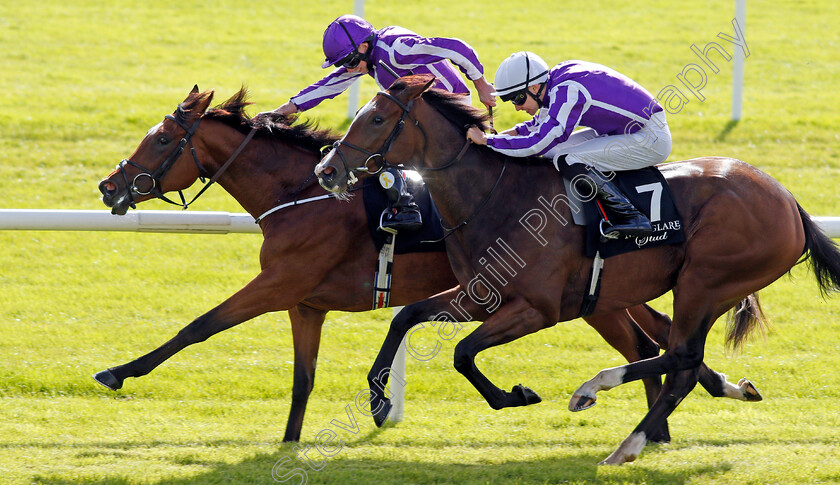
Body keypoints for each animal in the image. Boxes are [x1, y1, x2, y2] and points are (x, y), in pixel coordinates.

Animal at [314, 73, 840, 464]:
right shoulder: (482, 294)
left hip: (705, 282)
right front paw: (379, 402)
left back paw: (603, 403)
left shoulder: (537, 309)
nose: (326, 171)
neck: (496, 195)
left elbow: (462, 352)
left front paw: (517, 395)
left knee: (680, 356)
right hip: (692, 290)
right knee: (678, 359)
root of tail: (789, 201)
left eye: (377, 117)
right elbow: (407, 317)